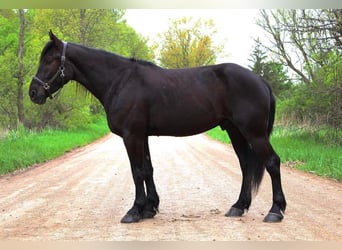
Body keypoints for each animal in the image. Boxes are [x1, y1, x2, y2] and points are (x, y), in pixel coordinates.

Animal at [28, 30, 286, 223]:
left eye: (49, 60)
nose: (33, 92)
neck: (120, 81)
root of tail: (260, 80)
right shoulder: (142, 136)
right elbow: (148, 169)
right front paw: (150, 208)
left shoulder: (131, 136)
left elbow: (136, 171)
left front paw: (134, 211)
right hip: (235, 131)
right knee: (246, 165)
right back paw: (238, 206)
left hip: (254, 133)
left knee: (272, 163)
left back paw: (275, 211)